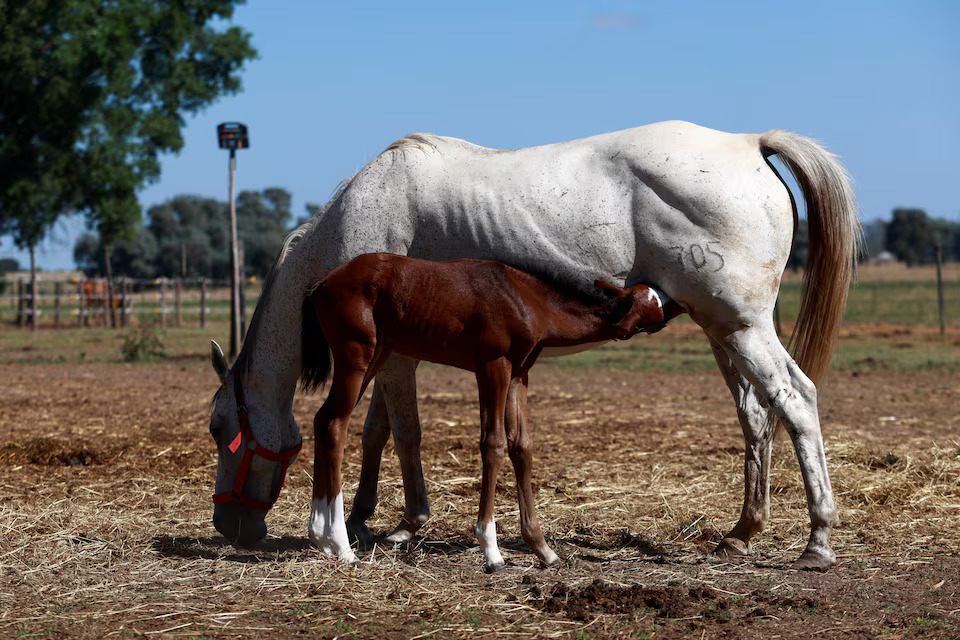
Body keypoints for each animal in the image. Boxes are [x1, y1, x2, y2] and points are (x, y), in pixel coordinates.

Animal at [304, 250, 680, 568]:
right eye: (652, 300)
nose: (676, 301)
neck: (526, 298)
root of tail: (325, 281)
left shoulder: (518, 374)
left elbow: (522, 447)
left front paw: (542, 548)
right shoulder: (492, 367)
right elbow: (493, 444)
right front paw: (491, 549)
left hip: (377, 357)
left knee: (322, 420)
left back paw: (321, 537)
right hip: (356, 357)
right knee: (335, 424)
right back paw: (342, 546)